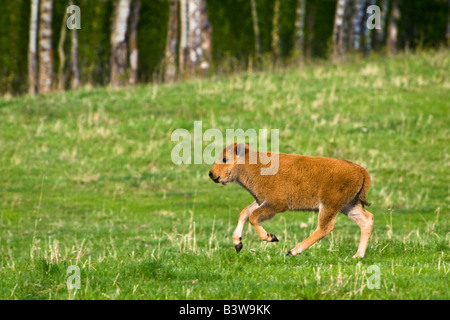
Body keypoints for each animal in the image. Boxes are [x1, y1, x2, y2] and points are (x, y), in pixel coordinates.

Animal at [209, 142, 374, 258]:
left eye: (225, 159)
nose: (211, 173)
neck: (253, 164)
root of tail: (361, 170)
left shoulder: (276, 204)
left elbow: (253, 216)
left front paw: (271, 237)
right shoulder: (261, 201)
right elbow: (244, 213)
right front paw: (238, 243)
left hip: (329, 206)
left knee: (324, 228)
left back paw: (292, 251)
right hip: (348, 206)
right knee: (366, 220)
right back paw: (357, 255)